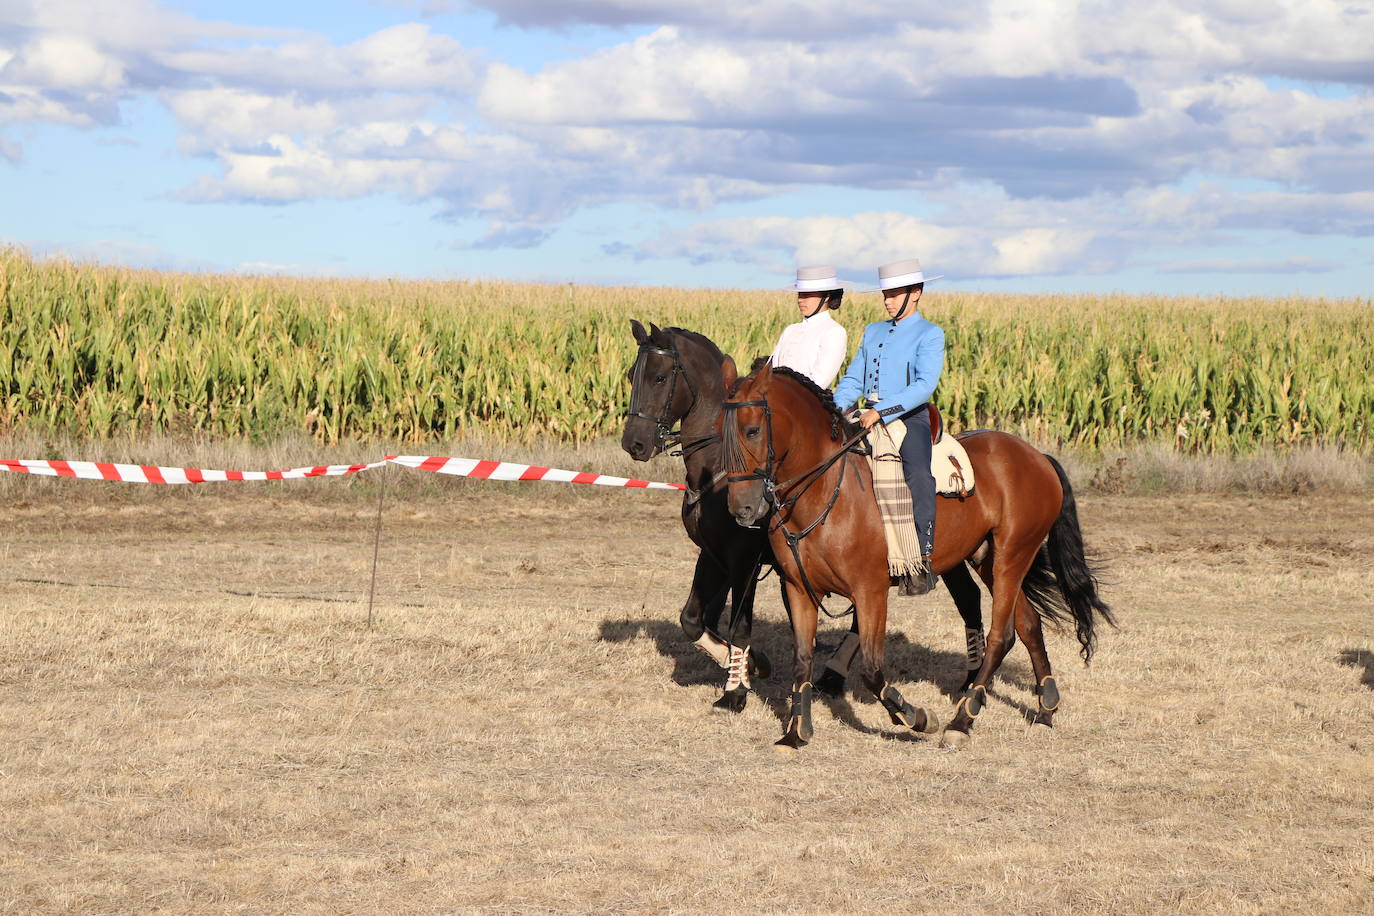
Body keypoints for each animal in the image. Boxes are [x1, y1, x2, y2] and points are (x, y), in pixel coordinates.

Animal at [725, 362, 1110, 747]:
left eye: (753, 430)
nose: (741, 509)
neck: (827, 490)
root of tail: (1035, 456)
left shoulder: (870, 593)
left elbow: (872, 670)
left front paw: (918, 718)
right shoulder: (799, 589)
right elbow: (802, 659)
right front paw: (795, 733)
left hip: (1012, 556)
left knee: (1002, 636)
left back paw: (962, 721)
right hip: (988, 559)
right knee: (1029, 625)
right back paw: (1046, 709)